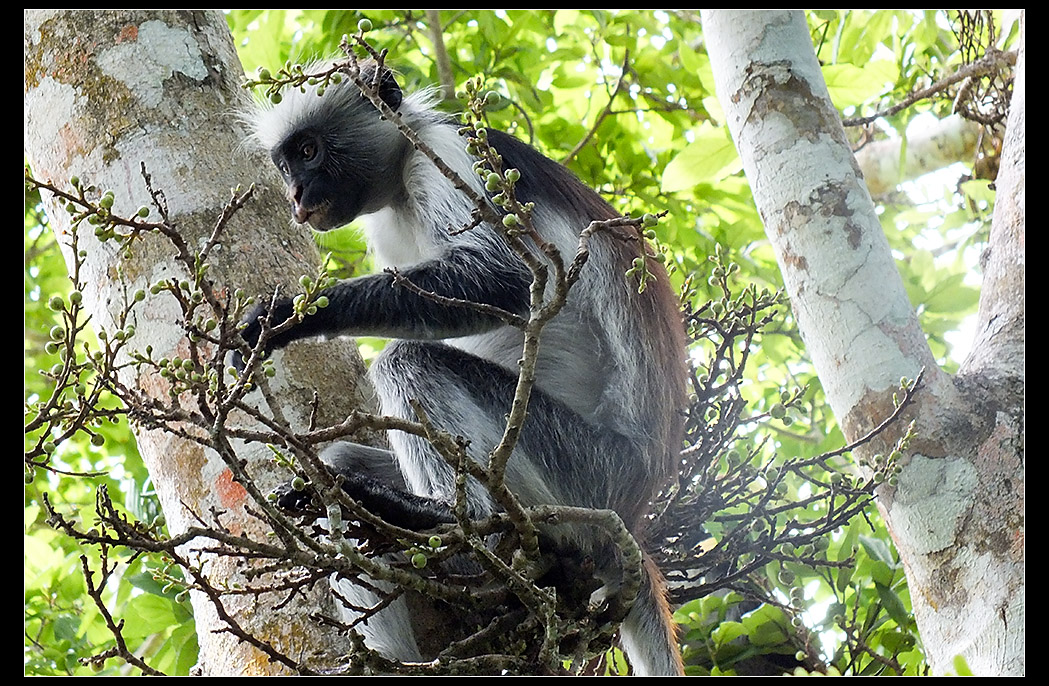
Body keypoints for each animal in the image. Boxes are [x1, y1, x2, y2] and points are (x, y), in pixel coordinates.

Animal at [241, 60, 688, 675]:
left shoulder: (446, 155)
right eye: (287, 163)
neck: (400, 186)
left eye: (309, 151)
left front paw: (291, 317)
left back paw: (447, 523)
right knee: (336, 468)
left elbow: (503, 278)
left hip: (589, 469)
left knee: (410, 360)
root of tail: (638, 508)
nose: (296, 194)